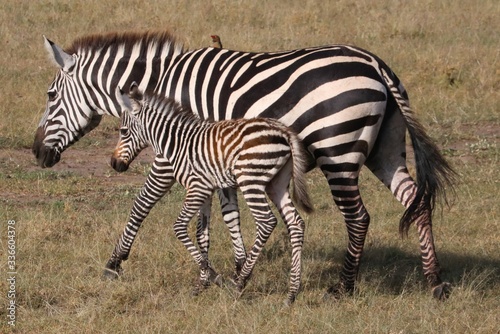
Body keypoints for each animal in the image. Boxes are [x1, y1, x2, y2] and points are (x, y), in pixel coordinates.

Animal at [112, 82, 312, 304]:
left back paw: (240, 283)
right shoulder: (206, 191)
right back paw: (292, 293)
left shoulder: (197, 188)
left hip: (250, 180)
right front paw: (202, 283)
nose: (114, 164)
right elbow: (202, 234)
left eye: (123, 131)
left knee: (267, 222)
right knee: (296, 223)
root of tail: (284, 132)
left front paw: (213, 276)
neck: (177, 143)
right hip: (277, 183)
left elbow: (179, 227)